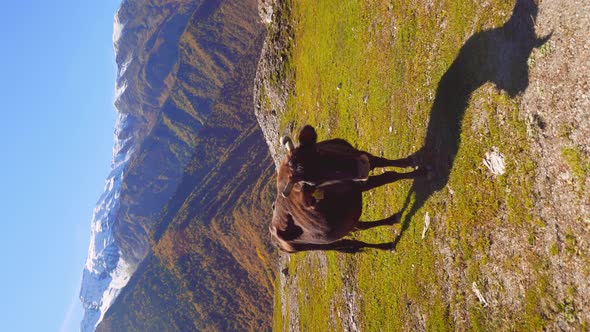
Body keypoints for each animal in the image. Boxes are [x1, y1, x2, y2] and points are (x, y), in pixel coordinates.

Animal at [270, 126, 428, 253]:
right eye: (312, 183)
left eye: (318, 151)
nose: (362, 166)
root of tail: (274, 236)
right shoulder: (357, 184)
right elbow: (390, 176)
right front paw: (420, 172)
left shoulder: (359, 153)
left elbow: (383, 161)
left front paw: (409, 161)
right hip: (324, 245)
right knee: (354, 243)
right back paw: (386, 246)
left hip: (347, 222)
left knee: (359, 226)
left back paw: (391, 219)